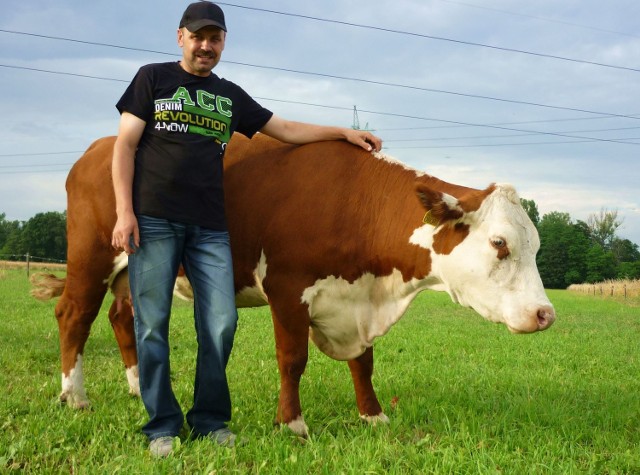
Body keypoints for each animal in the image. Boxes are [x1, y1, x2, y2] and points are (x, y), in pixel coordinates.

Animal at [32, 133, 556, 438]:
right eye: (500, 244)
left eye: (535, 245)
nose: (546, 314)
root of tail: (98, 147)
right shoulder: (287, 289)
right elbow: (293, 359)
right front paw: (292, 423)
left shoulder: (357, 299)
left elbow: (363, 363)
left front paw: (373, 415)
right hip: (92, 254)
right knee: (74, 314)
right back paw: (75, 396)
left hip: (131, 268)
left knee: (122, 316)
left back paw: (137, 387)